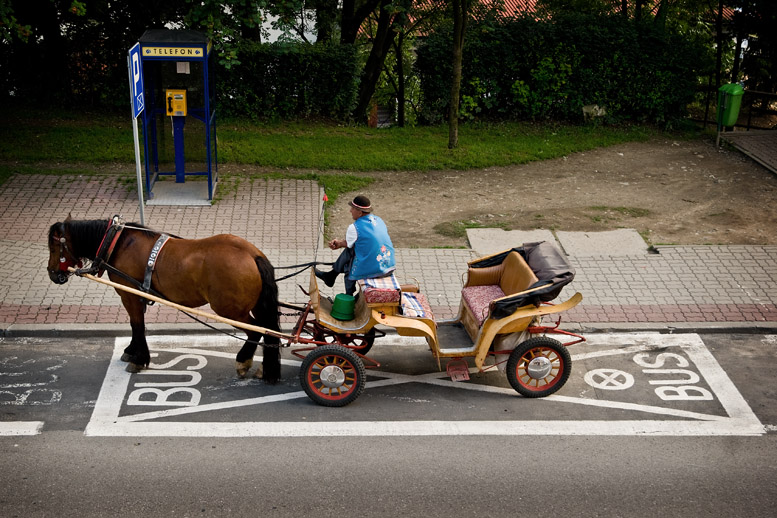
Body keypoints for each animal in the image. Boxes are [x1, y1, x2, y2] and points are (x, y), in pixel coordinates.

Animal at [46, 217, 282, 384]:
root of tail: (252, 255)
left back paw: (243, 362)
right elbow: (136, 325)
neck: (118, 243)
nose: (52, 274)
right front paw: (132, 351)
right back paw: (265, 368)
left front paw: (139, 359)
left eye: (54, 247)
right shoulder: (139, 295)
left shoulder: (129, 294)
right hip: (255, 306)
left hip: (229, 310)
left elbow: (136, 324)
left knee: (256, 331)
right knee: (269, 330)